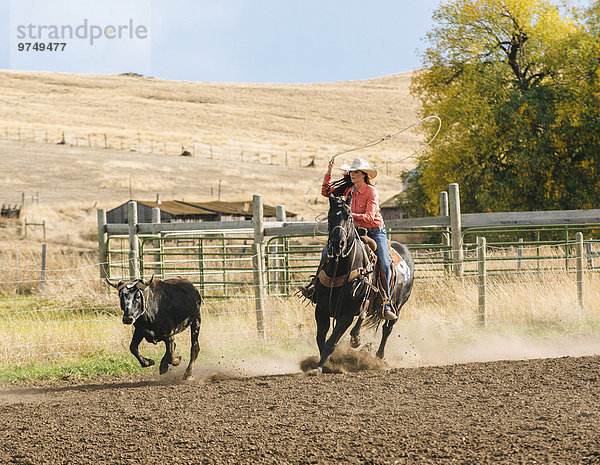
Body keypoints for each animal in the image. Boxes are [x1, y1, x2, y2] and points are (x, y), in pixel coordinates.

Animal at [310, 195, 412, 374]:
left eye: (349, 217)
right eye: (329, 217)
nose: (338, 244)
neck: (340, 268)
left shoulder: (346, 314)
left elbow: (331, 342)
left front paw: (321, 367)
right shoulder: (321, 309)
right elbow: (320, 339)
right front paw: (327, 363)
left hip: (398, 306)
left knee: (387, 328)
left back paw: (379, 356)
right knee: (364, 314)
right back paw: (355, 337)